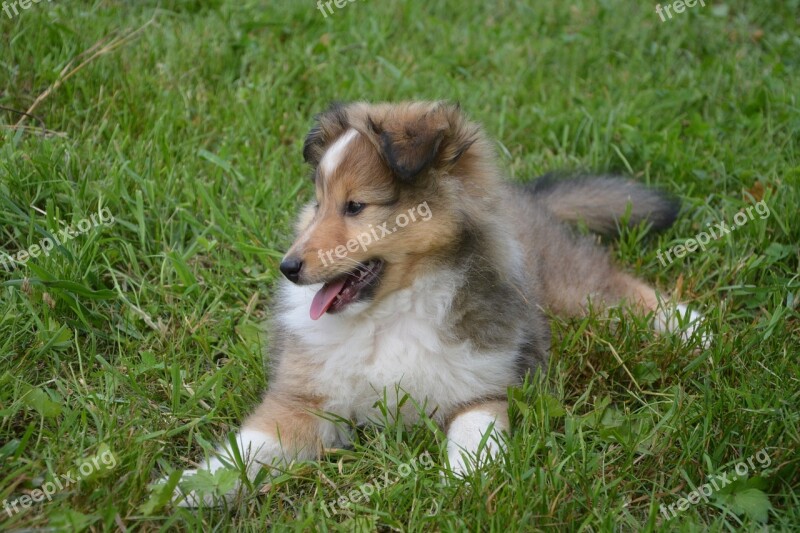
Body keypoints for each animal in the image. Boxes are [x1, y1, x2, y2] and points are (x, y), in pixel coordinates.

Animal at [172, 100, 708, 502]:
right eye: (318, 204)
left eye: (355, 206)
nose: (288, 267)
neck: (390, 313)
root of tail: (524, 195)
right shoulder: (307, 402)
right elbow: (250, 447)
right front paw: (186, 490)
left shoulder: (482, 385)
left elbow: (474, 435)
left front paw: (465, 485)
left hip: (571, 285)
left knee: (622, 287)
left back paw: (694, 328)